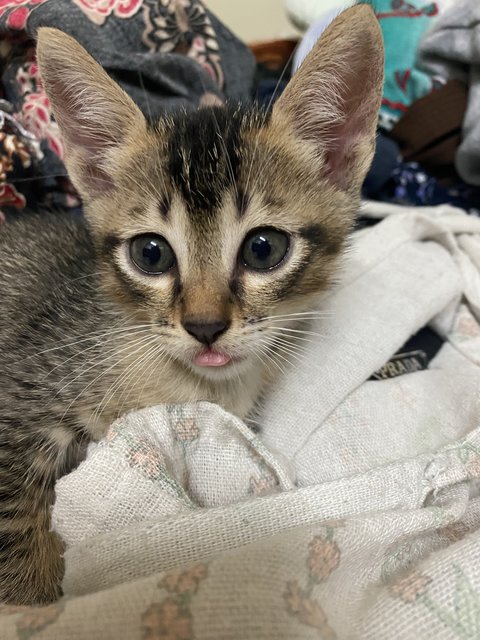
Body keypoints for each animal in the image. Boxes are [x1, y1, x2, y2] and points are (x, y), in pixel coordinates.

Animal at [0, 6, 384, 604]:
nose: (205, 327)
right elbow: (16, 534)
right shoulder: (20, 402)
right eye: (150, 253)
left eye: (263, 248)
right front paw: (34, 603)